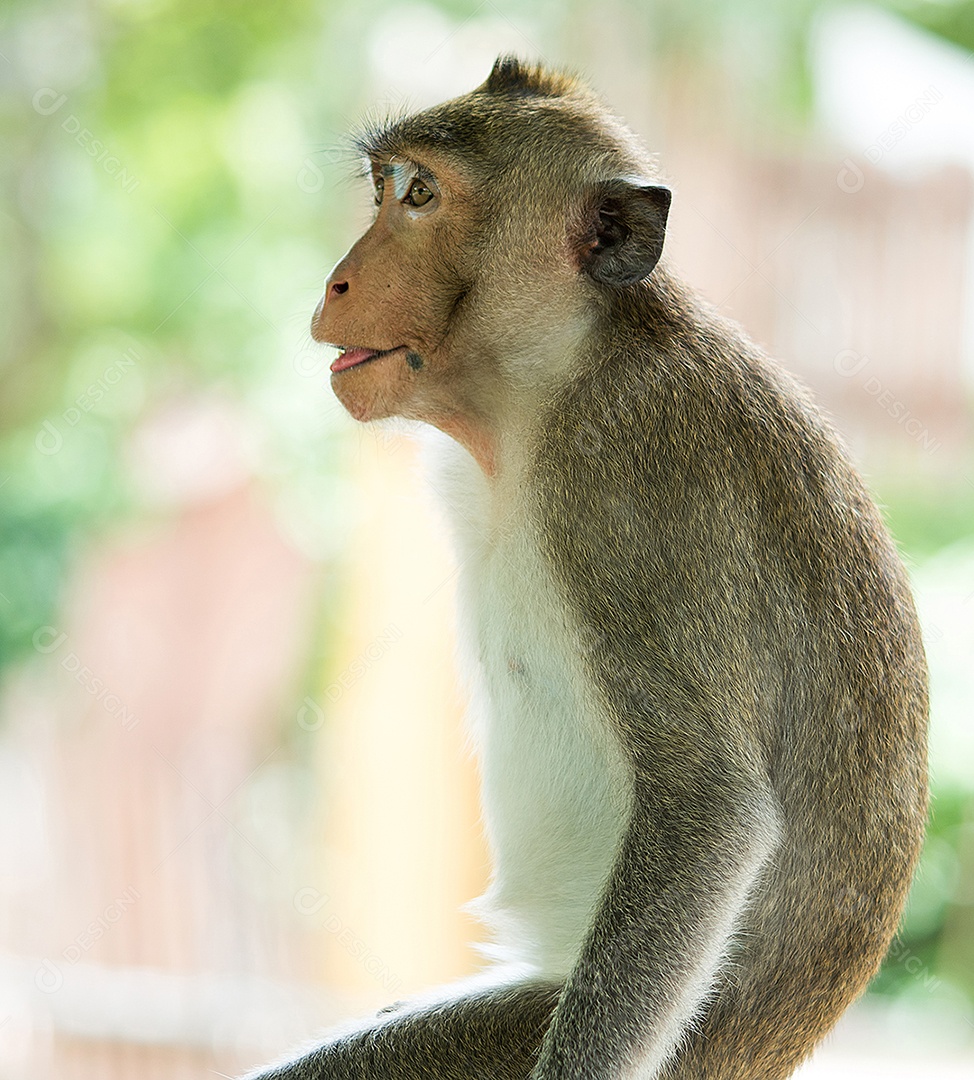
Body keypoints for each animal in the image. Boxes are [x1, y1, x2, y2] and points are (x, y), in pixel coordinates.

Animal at [244, 56, 928, 1080]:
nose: (337, 281)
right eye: (384, 185)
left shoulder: (630, 480)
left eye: (421, 194)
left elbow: (709, 809)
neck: (554, 378)